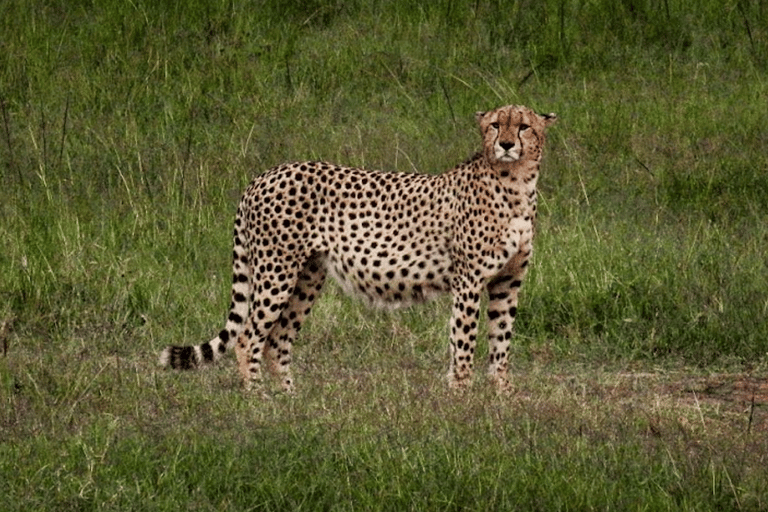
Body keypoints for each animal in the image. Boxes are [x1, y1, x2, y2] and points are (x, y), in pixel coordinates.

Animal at [164, 104, 560, 392]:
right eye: (495, 125)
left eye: (523, 127)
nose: (506, 144)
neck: (516, 184)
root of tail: (263, 175)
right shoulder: (469, 282)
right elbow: (464, 344)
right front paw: (462, 400)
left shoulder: (508, 283)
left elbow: (501, 342)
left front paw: (503, 397)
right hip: (277, 272)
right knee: (249, 338)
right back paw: (258, 399)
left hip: (306, 277)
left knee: (277, 339)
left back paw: (289, 401)